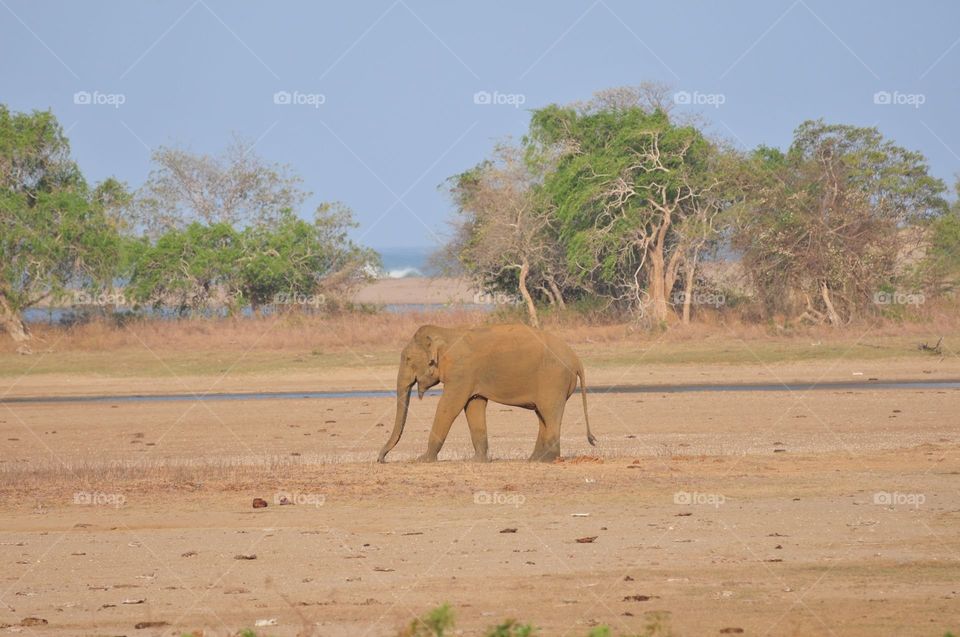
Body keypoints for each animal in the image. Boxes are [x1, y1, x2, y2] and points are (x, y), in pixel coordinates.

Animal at [377, 324, 596, 463]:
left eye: (407, 359)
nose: (381, 459)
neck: (447, 333)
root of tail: (577, 359)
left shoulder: (461, 372)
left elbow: (449, 406)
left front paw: (423, 460)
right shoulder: (471, 378)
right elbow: (474, 406)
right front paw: (478, 460)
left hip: (553, 379)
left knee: (549, 412)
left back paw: (548, 461)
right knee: (542, 414)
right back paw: (534, 459)